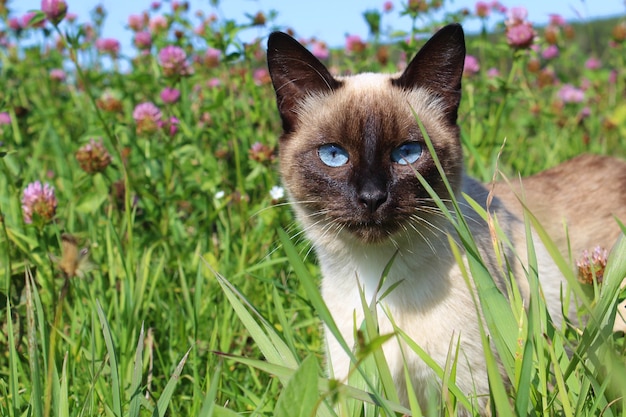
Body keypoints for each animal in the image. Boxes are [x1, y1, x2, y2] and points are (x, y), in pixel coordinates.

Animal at [264, 23, 624, 412]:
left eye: (407, 153)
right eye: (334, 155)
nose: (372, 198)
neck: (379, 281)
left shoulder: (472, 390)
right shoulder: (356, 392)